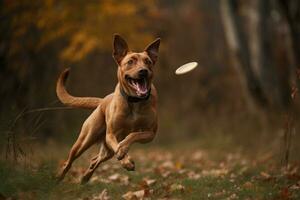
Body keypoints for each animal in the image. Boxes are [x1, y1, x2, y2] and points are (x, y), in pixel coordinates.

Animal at [55, 33, 161, 184]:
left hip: (106, 151)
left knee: (96, 159)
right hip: (85, 140)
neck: (134, 101)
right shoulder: (110, 134)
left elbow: (133, 135)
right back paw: (59, 178)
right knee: (69, 161)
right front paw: (125, 159)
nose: (143, 71)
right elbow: (118, 145)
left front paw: (124, 151)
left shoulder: (150, 134)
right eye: (130, 62)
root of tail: (103, 101)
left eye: (148, 62)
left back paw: (85, 177)